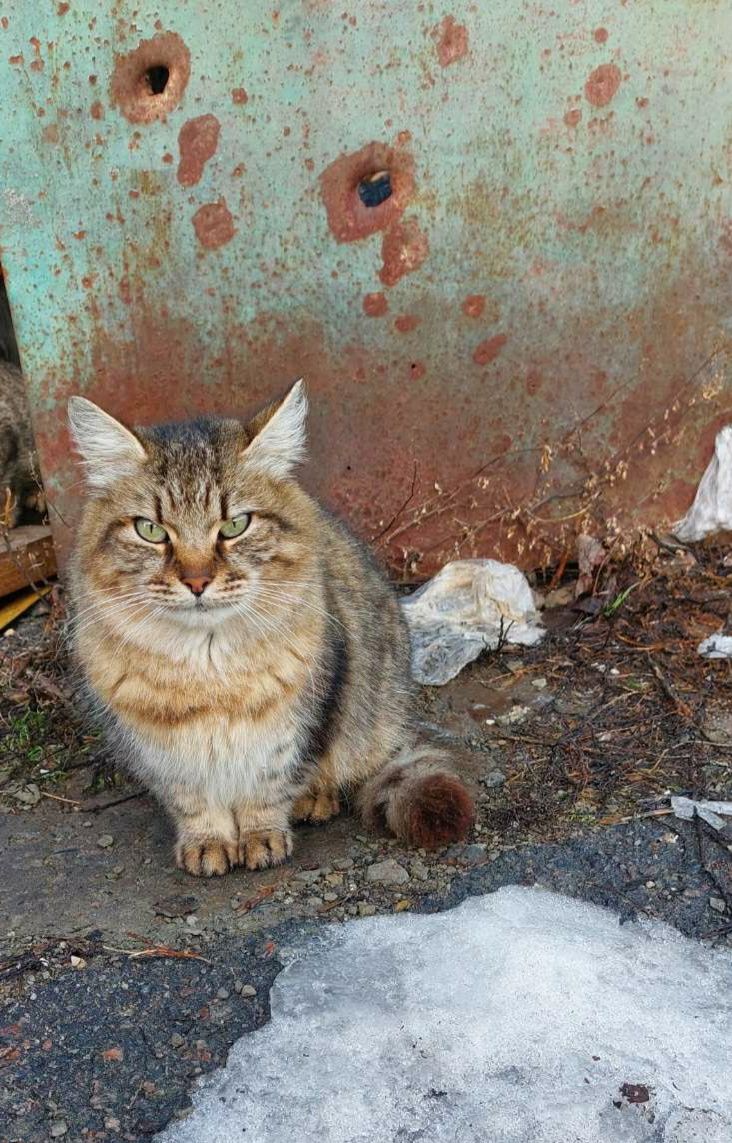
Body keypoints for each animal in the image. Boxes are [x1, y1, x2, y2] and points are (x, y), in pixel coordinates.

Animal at [68, 384, 475, 873]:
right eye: (151, 530)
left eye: (235, 525)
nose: (197, 582)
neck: (207, 669)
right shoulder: (160, 749)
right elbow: (194, 802)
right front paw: (208, 842)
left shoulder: (294, 725)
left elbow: (266, 790)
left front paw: (262, 836)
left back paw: (313, 802)